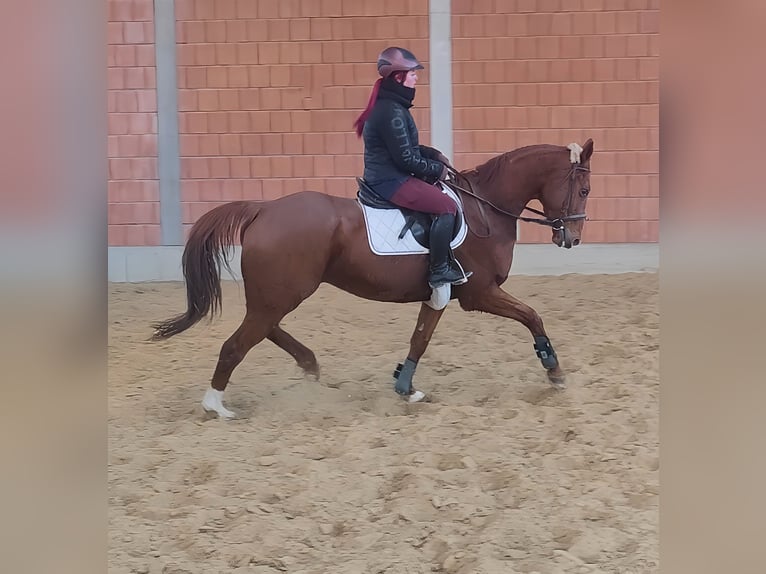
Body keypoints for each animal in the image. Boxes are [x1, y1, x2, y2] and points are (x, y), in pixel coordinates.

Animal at [150, 140, 592, 418]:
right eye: (585, 189)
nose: (571, 238)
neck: (485, 209)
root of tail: (264, 208)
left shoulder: (441, 292)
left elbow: (420, 337)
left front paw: (406, 386)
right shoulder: (480, 292)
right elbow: (531, 315)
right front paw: (554, 371)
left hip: (277, 294)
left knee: (263, 328)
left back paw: (309, 366)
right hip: (283, 293)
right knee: (237, 344)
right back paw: (216, 405)